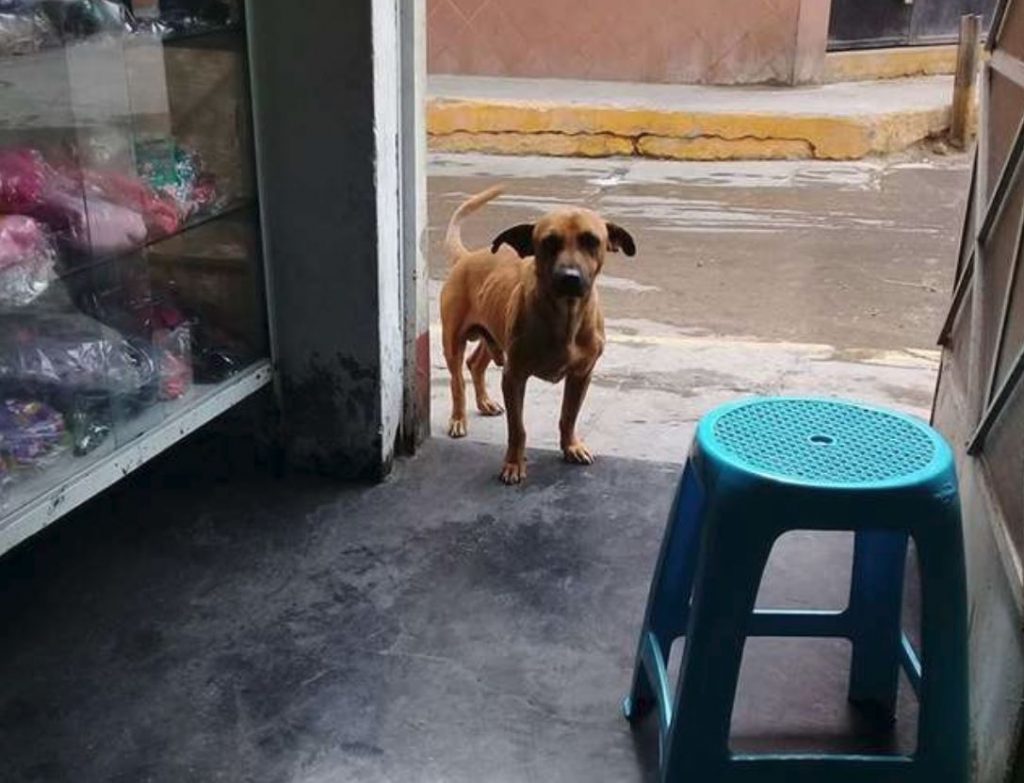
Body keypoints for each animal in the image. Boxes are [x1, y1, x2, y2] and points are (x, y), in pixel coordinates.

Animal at [444, 188, 634, 483]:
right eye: (549, 242)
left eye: (591, 240)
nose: (570, 277)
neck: (566, 317)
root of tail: (467, 257)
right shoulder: (514, 377)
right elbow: (517, 429)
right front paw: (513, 463)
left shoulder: (581, 375)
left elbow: (568, 416)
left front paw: (571, 446)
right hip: (453, 341)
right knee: (456, 381)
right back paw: (458, 418)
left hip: (492, 333)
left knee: (475, 364)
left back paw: (484, 402)